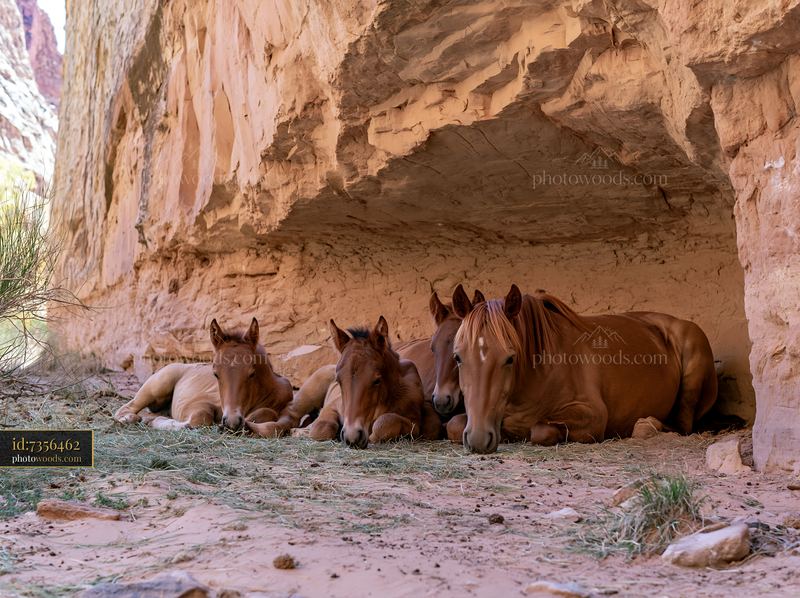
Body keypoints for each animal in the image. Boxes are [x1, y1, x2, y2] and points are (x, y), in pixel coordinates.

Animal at [114, 318, 294, 431]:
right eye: (215, 374)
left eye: (252, 373)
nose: (231, 421)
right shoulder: (198, 402)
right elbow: (200, 417)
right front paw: (161, 423)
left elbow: (267, 413)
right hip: (156, 387)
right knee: (126, 408)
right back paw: (129, 419)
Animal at [453, 285, 718, 453]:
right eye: (457, 357)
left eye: (510, 358)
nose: (478, 439)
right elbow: (454, 425)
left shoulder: (593, 415)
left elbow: (541, 430)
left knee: (682, 425)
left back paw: (646, 425)